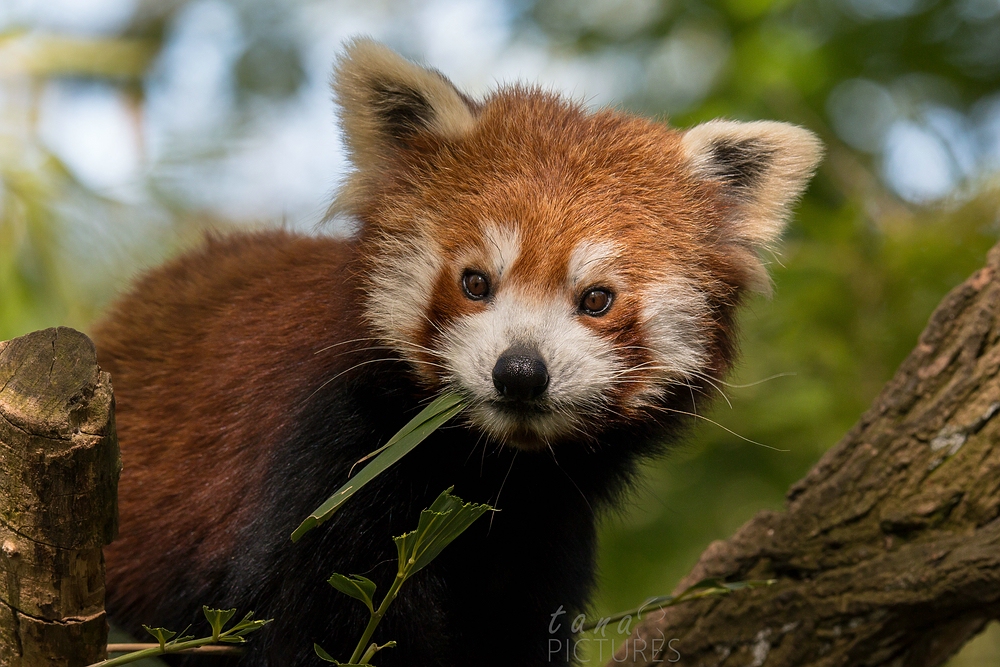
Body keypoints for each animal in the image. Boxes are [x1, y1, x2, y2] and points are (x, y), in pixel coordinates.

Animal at [95, 37, 820, 667]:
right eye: (476, 282)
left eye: (597, 299)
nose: (521, 372)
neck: (485, 464)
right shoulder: (329, 461)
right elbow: (308, 624)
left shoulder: (542, 525)